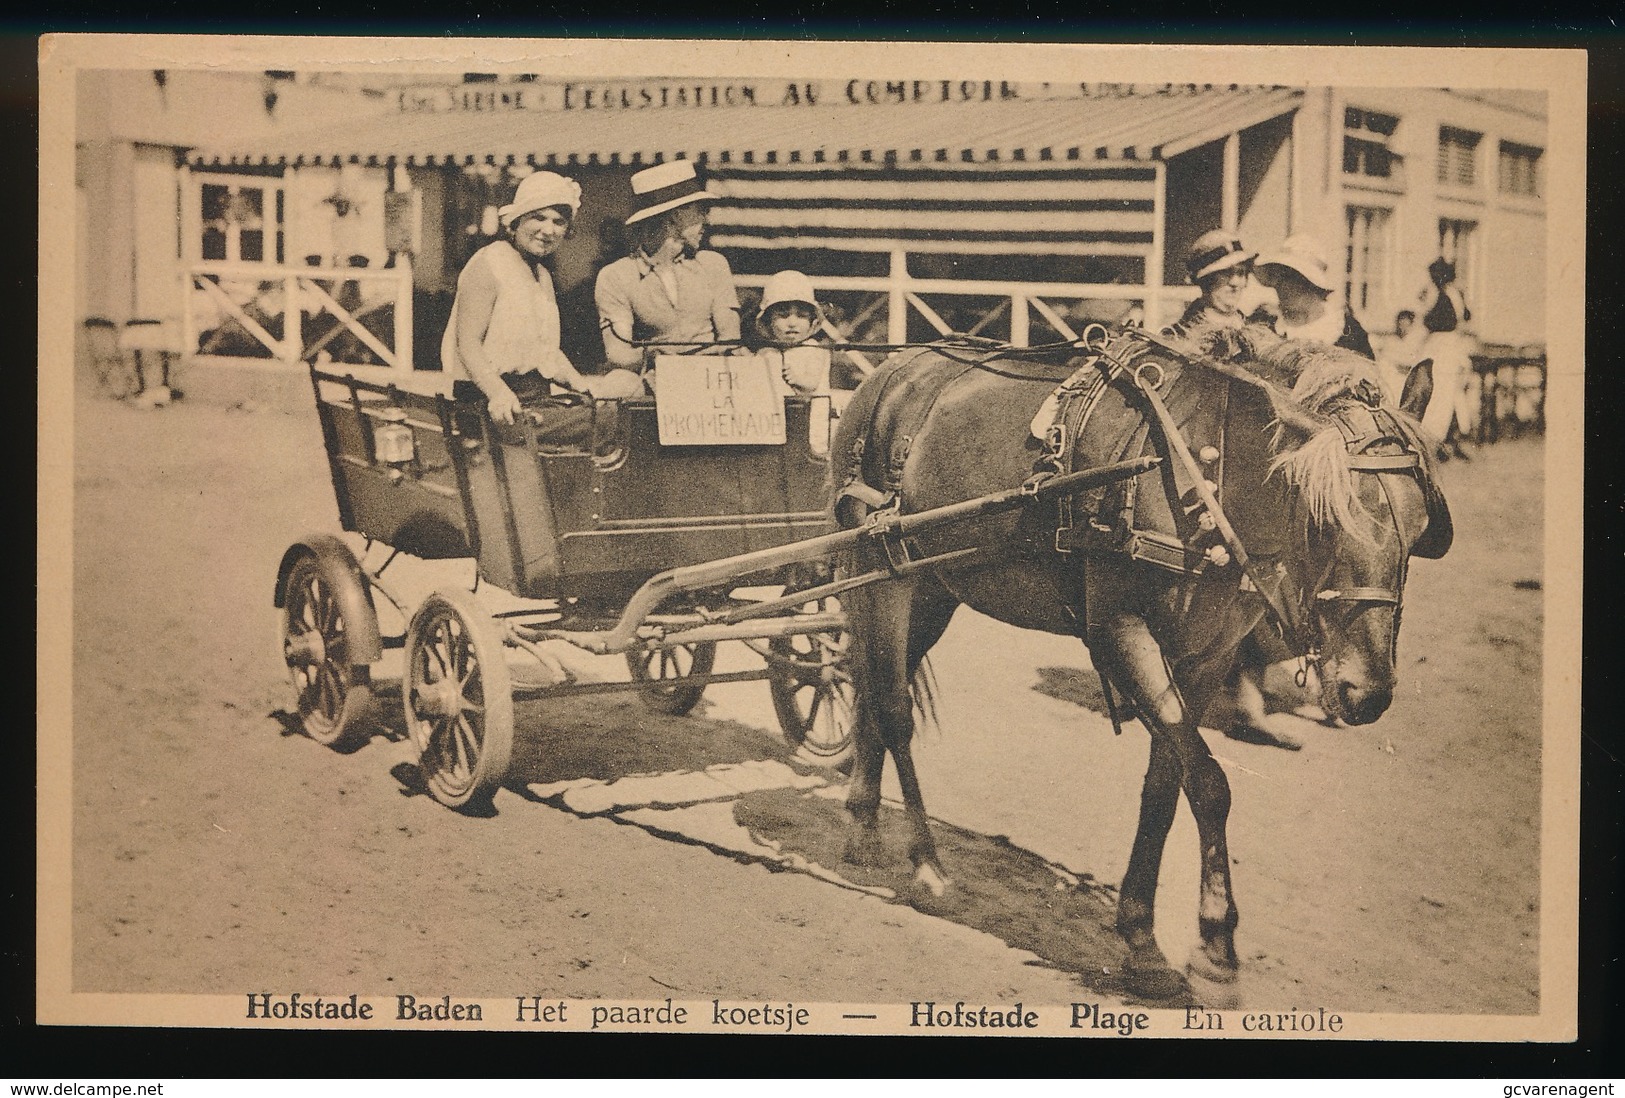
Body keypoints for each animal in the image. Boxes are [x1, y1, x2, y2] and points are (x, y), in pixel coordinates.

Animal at [832, 323, 1456, 994]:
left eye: (1419, 529)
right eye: (1324, 519)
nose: (1367, 691)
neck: (1202, 473)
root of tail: (888, 373)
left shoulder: (1206, 658)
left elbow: (1166, 788)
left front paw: (1141, 936)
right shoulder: (1120, 630)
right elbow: (1209, 782)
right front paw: (1215, 940)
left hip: (933, 585)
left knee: (872, 686)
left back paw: (863, 821)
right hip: (880, 571)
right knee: (893, 706)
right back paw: (925, 863)